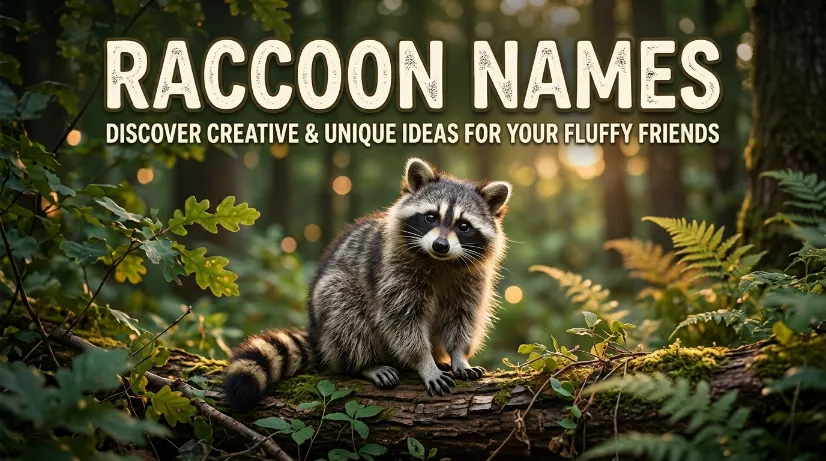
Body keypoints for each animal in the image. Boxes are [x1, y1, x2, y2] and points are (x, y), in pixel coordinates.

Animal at [224, 158, 511, 408]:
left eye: (463, 226)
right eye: (431, 217)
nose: (440, 245)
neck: (439, 261)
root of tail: (319, 336)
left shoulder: (472, 280)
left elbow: (463, 317)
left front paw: (458, 355)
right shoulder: (391, 272)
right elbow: (402, 321)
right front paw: (423, 362)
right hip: (333, 300)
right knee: (345, 310)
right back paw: (365, 364)